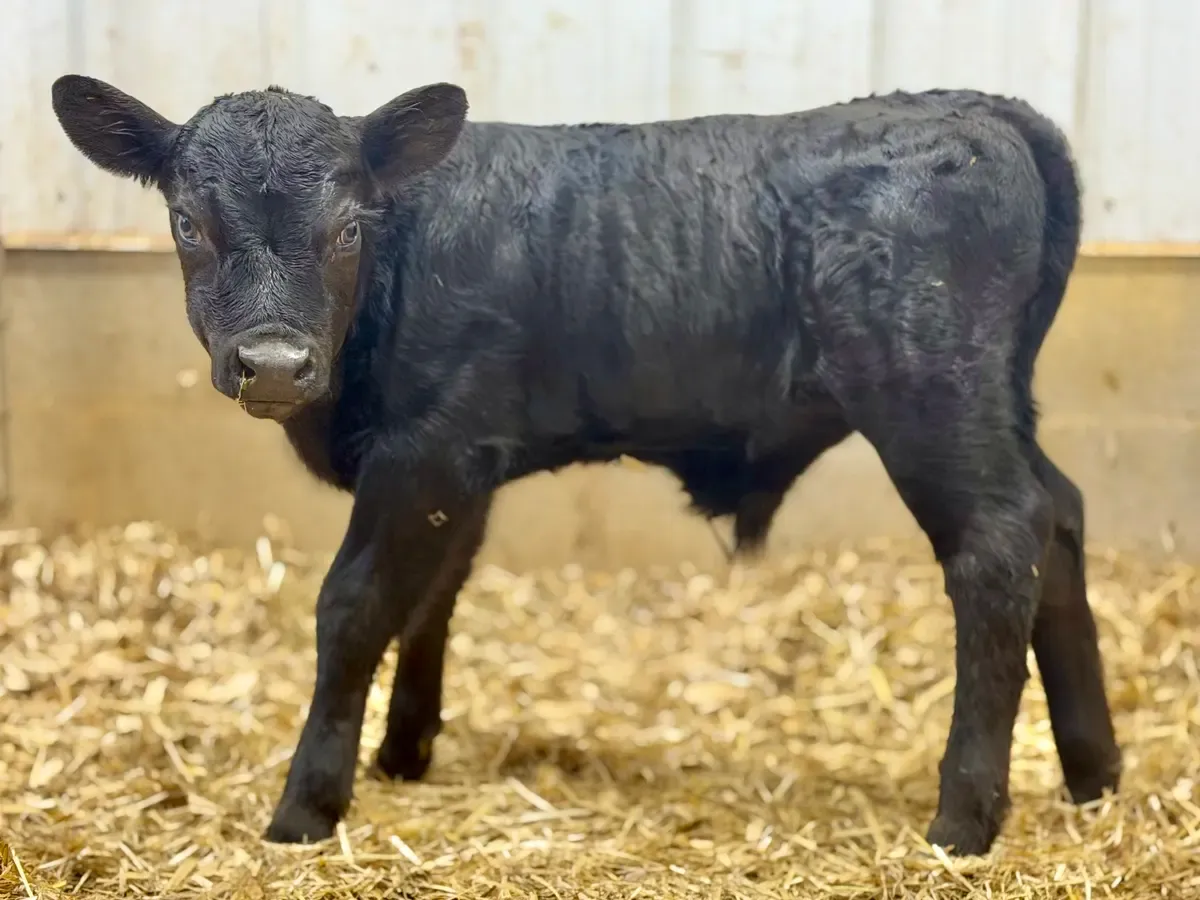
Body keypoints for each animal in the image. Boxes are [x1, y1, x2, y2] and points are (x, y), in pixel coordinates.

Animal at [49, 73, 1121, 855]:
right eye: (188, 222)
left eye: (349, 225)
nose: (273, 362)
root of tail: (975, 105)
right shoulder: (461, 466)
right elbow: (431, 597)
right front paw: (405, 750)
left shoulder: (422, 453)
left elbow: (354, 609)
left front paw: (308, 805)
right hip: (995, 402)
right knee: (1061, 513)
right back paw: (1094, 775)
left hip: (929, 396)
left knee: (999, 544)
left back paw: (964, 819)